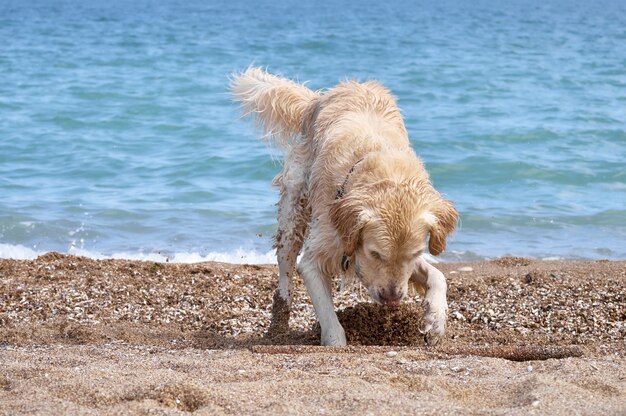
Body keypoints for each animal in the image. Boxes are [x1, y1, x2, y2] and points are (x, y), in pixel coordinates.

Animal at [232, 68, 456, 346]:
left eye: (414, 254)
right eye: (375, 253)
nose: (392, 299)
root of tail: (320, 98)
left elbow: (439, 276)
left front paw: (436, 320)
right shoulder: (316, 257)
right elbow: (328, 316)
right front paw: (335, 340)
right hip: (294, 211)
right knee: (285, 268)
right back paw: (279, 320)